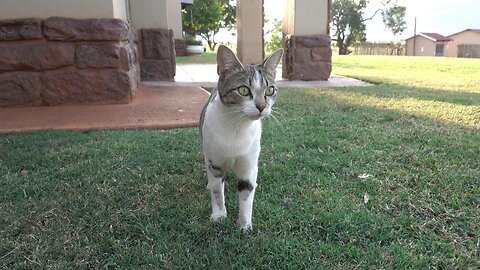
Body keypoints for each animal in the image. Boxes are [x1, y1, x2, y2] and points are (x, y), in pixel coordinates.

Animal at [200, 44, 284, 230]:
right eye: (244, 90)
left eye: (270, 90)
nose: (262, 106)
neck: (237, 128)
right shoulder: (215, 162)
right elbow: (217, 191)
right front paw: (219, 215)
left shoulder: (248, 164)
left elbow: (246, 194)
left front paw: (244, 225)